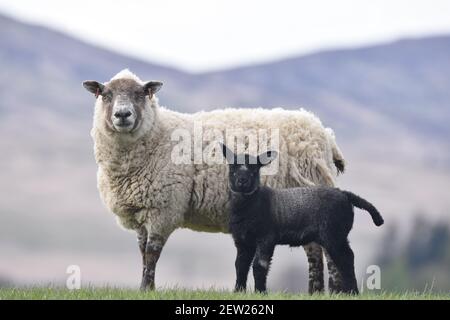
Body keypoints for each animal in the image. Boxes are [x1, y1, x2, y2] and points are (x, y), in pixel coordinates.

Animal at [82, 69, 346, 292]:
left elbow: (152, 252)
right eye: (105, 94)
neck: (158, 133)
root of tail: (324, 132)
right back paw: (316, 292)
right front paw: (145, 288)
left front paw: (147, 289)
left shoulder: (163, 208)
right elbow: (142, 252)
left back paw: (332, 291)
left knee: (324, 250)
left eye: (140, 94)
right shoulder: (141, 211)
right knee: (314, 249)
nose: (122, 115)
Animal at [221, 144, 384, 294]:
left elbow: (259, 266)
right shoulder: (242, 241)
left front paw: (261, 292)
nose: (242, 180)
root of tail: (345, 194)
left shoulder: (266, 237)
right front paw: (238, 291)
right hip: (337, 234)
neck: (249, 205)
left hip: (334, 233)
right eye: (232, 167)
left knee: (346, 258)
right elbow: (240, 265)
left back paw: (353, 292)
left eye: (254, 169)